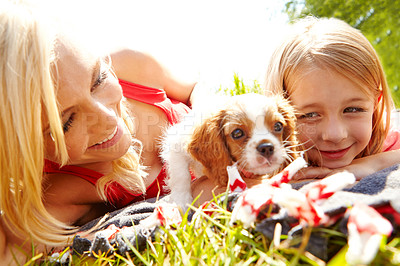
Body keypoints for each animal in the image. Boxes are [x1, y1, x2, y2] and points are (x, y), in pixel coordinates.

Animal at [161, 92, 298, 209]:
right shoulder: (176, 143)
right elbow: (181, 175)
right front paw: (181, 202)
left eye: (278, 126)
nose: (267, 147)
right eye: (237, 133)